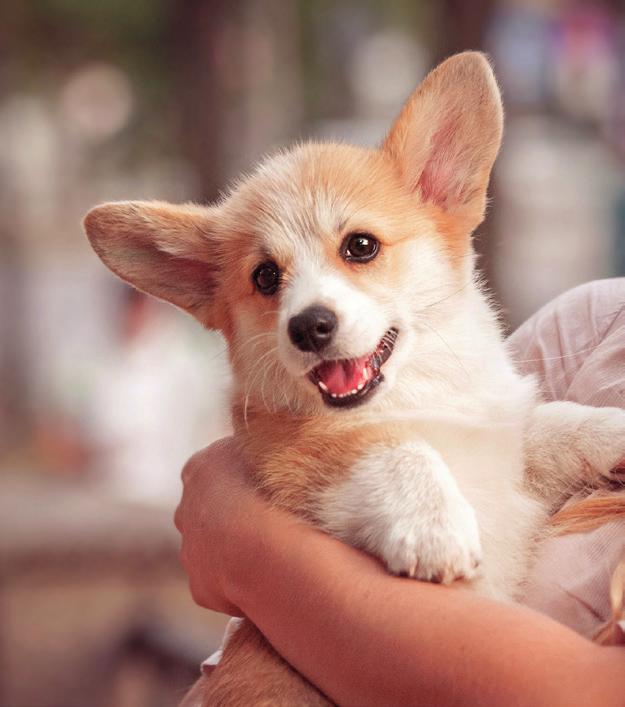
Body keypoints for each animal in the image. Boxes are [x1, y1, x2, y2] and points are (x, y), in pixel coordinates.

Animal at [84, 52, 625, 704]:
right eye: (265, 277)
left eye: (360, 246)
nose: (309, 326)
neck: (418, 396)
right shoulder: (298, 462)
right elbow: (394, 448)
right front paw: (433, 527)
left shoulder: (505, 444)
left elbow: (552, 424)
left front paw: (613, 431)